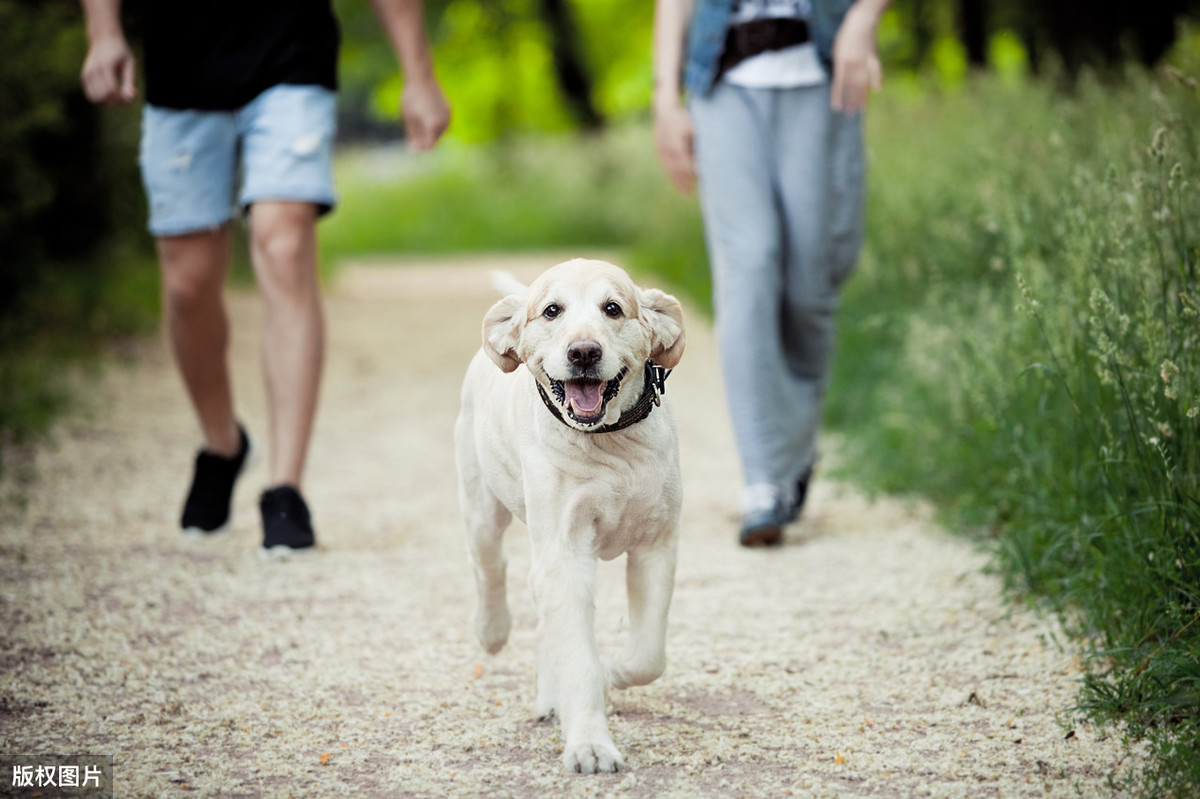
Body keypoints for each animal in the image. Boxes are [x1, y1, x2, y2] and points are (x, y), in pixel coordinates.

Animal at [456, 257, 691, 767]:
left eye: (613, 308)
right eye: (551, 311)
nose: (584, 352)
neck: (611, 445)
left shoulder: (656, 545)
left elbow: (649, 655)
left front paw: (617, 671)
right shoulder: (563, 550)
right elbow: (580, 661)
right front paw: (590, 746)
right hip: (483, 507)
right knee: (489, 568)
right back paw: (492, 631)